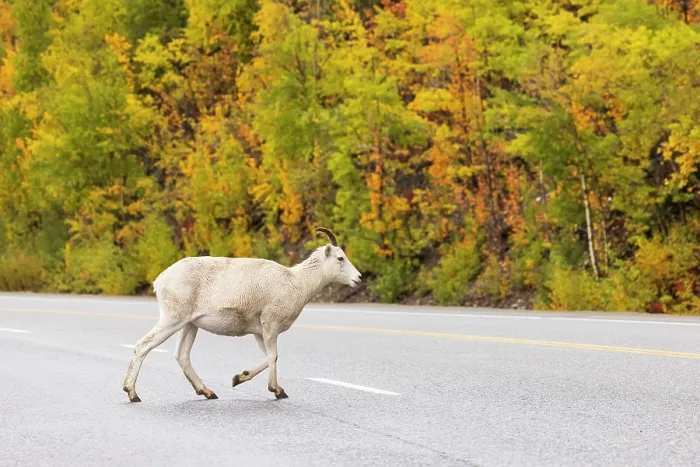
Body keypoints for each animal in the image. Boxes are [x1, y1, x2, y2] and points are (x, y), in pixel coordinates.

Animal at [122, 227, 362, 402]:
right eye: (340, 258)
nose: (358, 278)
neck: (298, 283)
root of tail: (159, 280)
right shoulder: (270, 326)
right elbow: (273, 356)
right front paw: (277, 390)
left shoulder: (259, 332)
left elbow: (269, 357)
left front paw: (238, 379)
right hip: (173, 319)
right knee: (144, 346)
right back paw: (132, 394)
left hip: (189, 325)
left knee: (182, 356)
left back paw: (208, 393)